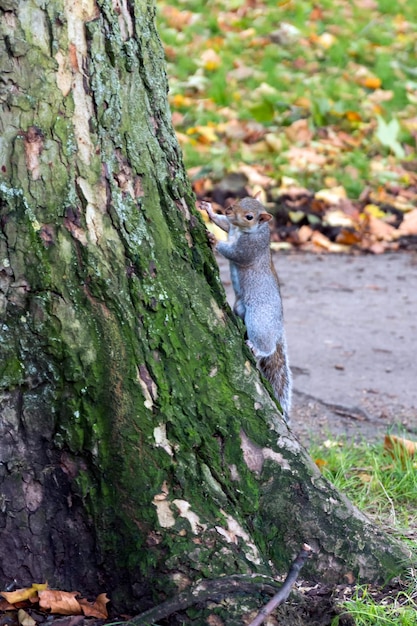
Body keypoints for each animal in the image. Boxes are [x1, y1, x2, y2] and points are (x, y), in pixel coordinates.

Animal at [199, 193, 290, 422]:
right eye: (241, 198)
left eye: (249, 216)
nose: (229, 209)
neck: (245, 230)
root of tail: (278, 326)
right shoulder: (230, 226)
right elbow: (222, 223)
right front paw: (210, 210)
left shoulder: (249, 249)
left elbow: (235, 253)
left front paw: (215, 241)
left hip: (259, 320)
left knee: (266, 348)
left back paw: (256, 348)